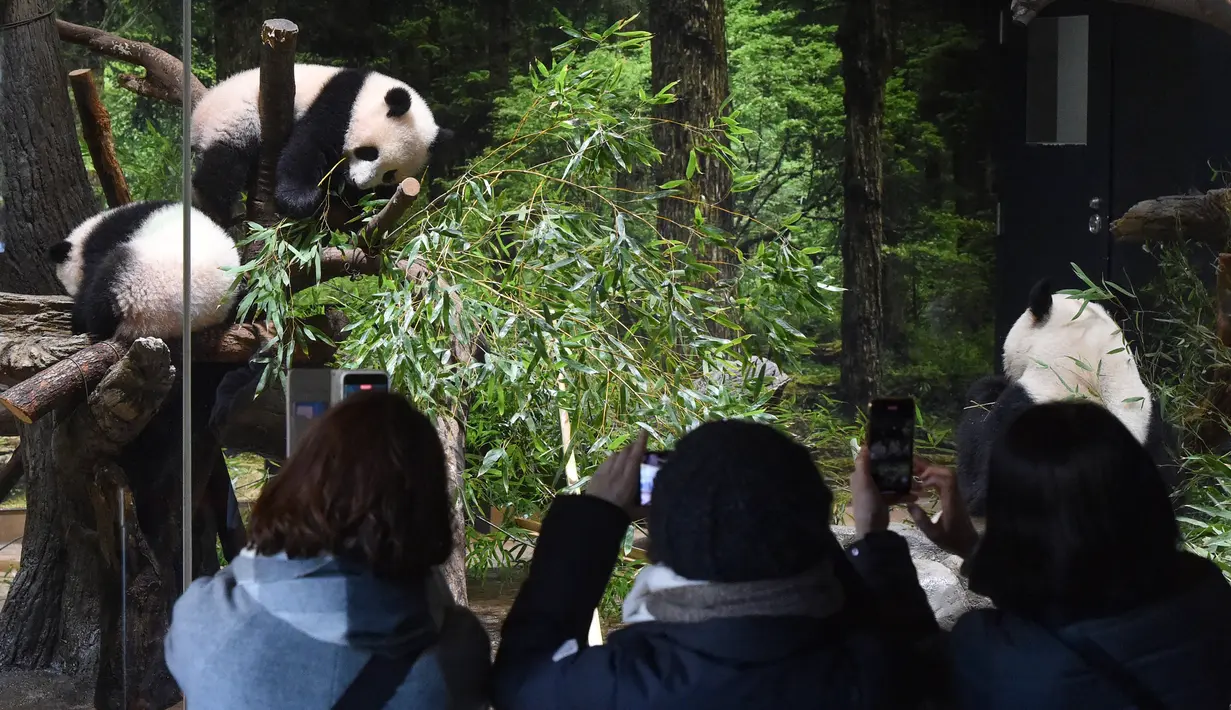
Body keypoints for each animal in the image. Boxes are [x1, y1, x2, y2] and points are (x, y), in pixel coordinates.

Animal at [189, 63, 445, 225]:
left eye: (390, 174)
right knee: (225, 163)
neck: (368, 93)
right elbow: (309, 145)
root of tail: (198, 113)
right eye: (370, 153)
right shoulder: (339, 102)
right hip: (236, 118)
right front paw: (300, 200)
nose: (359, 182)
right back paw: (219, 209)